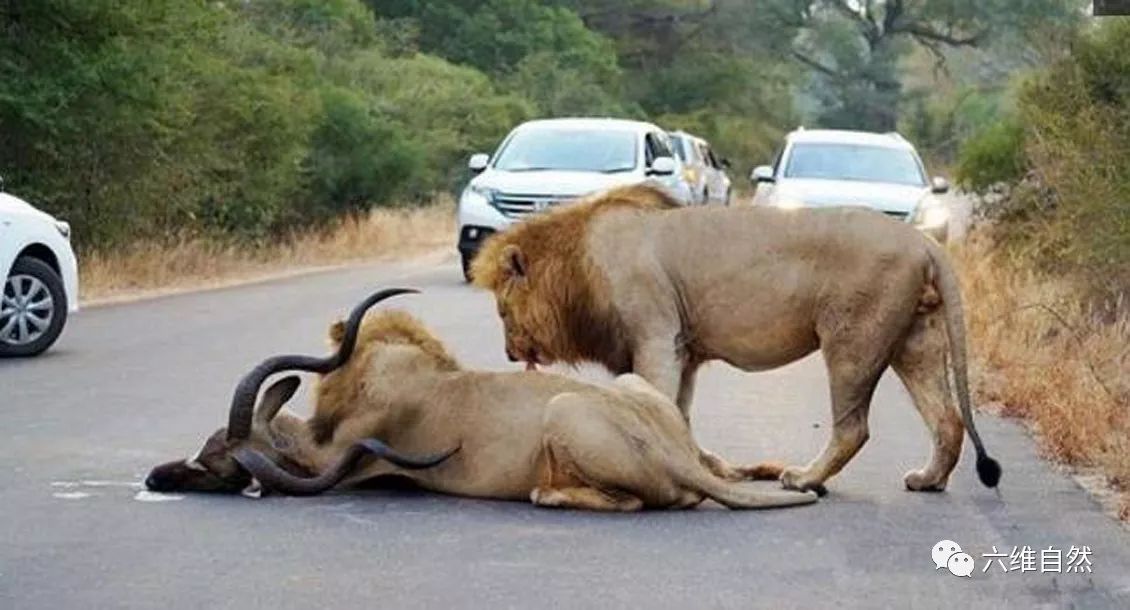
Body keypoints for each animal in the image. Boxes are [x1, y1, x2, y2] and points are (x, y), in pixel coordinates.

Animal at [148, 286, 822, 510]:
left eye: (218, 466)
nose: (157, 477)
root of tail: (674, 455)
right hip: (632, 387)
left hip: (561, 411)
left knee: (630, 503)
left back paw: (547, 494)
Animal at [472, 183, 1003, 492]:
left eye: (502, 310)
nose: (509, 352)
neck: (577, 265)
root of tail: (924, 241)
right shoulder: (683, 350)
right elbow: (678, 413)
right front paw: (707, 466)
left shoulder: (655, 337)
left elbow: (656, 401)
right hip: (915, 340)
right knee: (947, 419)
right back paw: (928, 480)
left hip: (852, 339)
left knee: (854, 427)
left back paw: (804, 478)